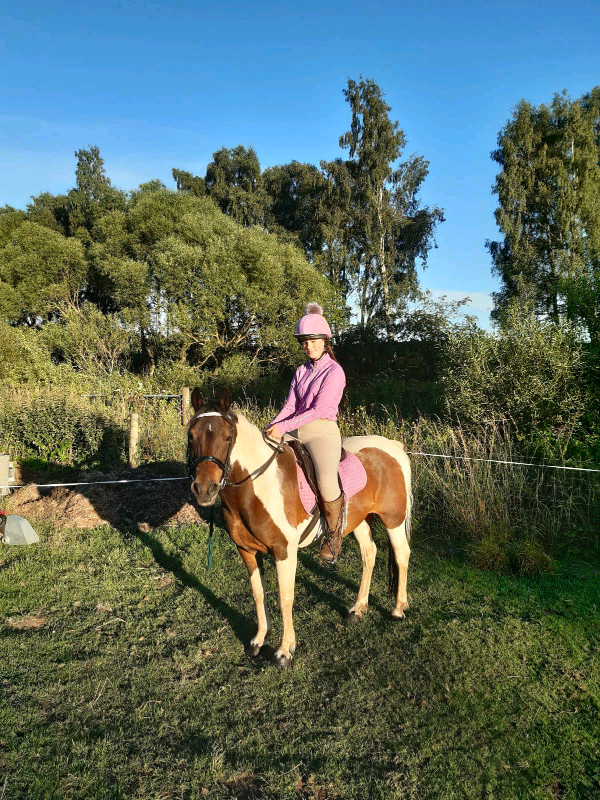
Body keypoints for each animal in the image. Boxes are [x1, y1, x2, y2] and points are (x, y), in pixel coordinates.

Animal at [187, 387, 412, 668]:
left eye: (228, 436)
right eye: (191, 435)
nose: (204, 489)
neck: (256, 487)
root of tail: (392, 446)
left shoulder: (284, 552)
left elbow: (285, 598)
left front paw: (285, 651)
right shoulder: (246, 550)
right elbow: (258, 593)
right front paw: (258, 641)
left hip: (393, 519)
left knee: (402, 554)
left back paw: (398, 609)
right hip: (358, 520)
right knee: (369, 554)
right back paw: (358, 608)